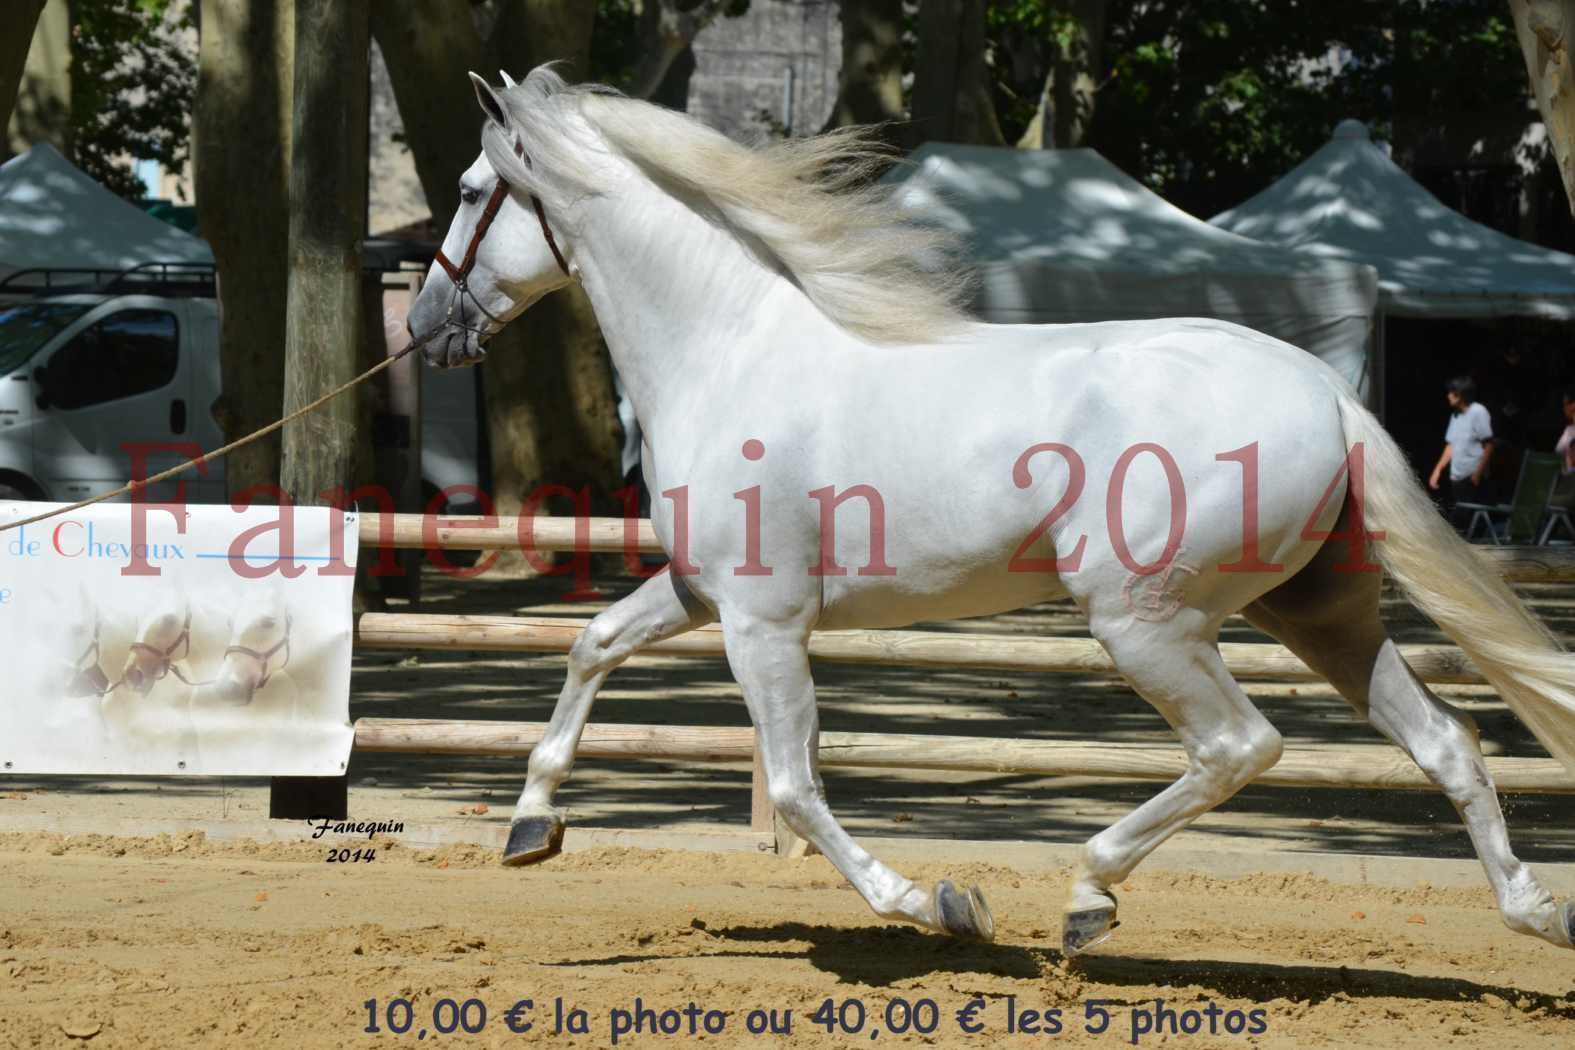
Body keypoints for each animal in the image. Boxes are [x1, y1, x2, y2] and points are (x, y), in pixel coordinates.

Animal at [406, 63, 1575, 950]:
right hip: (1321, 613)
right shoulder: (701, 595)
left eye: (467, 190)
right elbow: (592, 645)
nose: (423, 328)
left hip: (1144, 621)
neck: (728, 350)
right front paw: (530, 827)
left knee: (1240, 746)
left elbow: (794, 787)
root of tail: (1326, 389)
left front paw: (938, 903)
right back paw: (1532, 912)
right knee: (1447, 740)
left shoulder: (761, 624)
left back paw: (1088, 893)